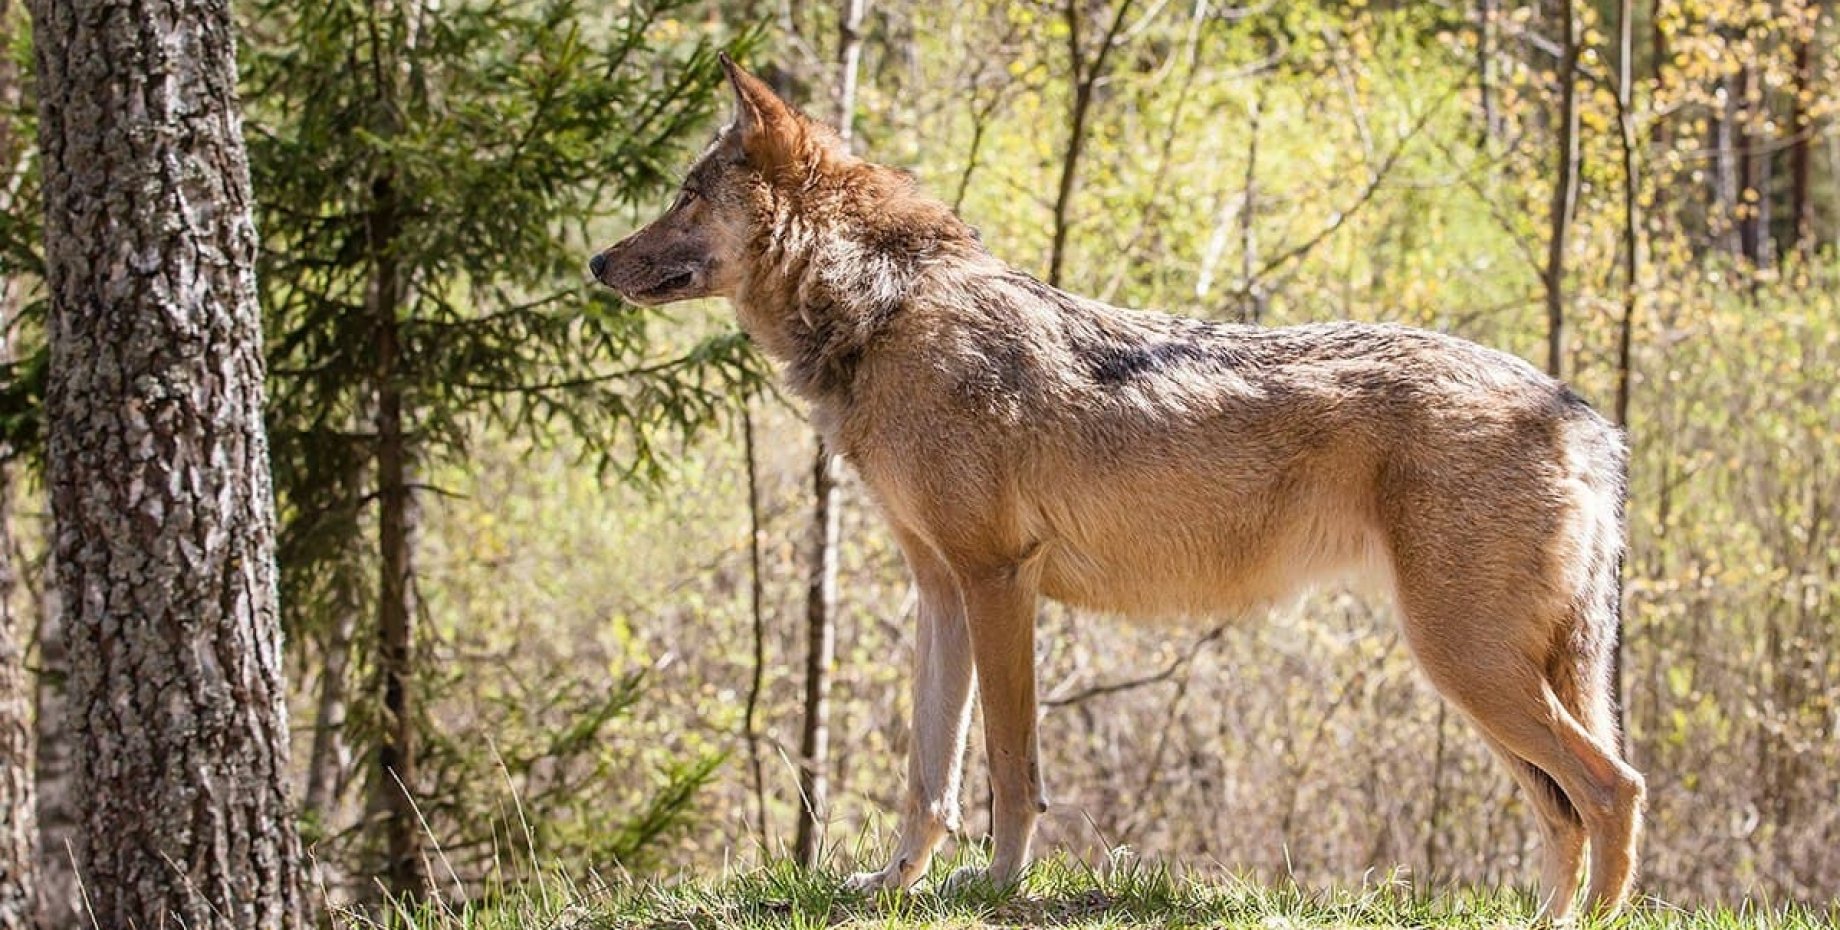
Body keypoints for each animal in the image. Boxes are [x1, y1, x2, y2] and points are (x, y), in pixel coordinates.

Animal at [592, 54, 1656, 917]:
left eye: (686, 194)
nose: (598, 260)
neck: (886, 311)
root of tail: (1584, 414)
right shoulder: (939, 590)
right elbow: (926, 776)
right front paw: (893, 886)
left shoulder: (998, 580)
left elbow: (1008, 768)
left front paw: (995, 887)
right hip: (1484, 674)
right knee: (1567, 810)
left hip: (1466, 664)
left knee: (1614, 789)